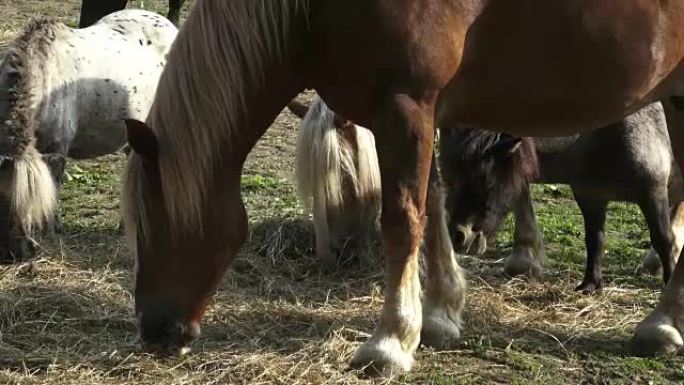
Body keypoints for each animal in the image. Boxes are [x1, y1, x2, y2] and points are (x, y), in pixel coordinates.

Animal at [440, 102, 680, 294]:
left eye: (485, 180)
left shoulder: (653, 193)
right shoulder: (591, 198)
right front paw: (590, 285)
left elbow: (663, 239)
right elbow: (594, 240)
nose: (458, 236)